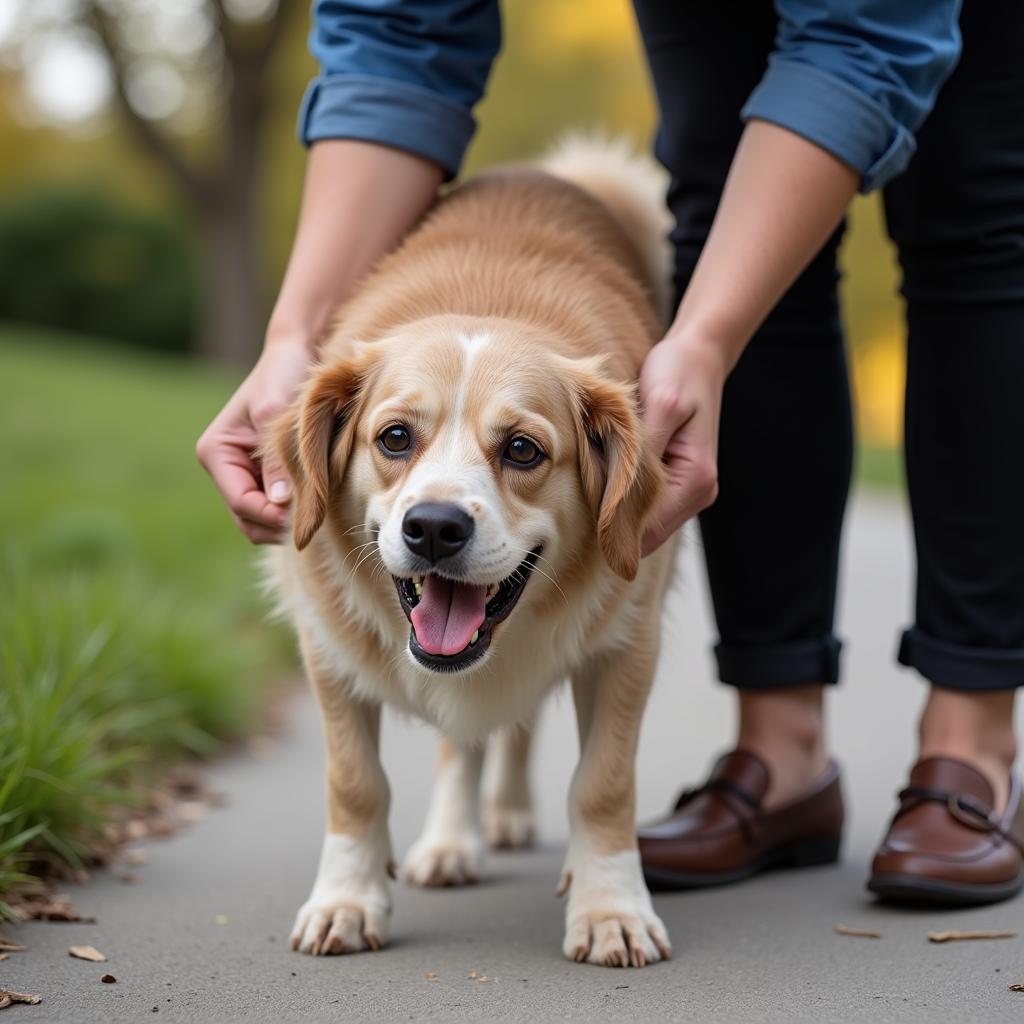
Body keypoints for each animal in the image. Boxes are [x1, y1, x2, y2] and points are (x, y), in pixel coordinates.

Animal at [270, 138, 679, 966]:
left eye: (522, 449)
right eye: (395, 437)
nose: (434, 527)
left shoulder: (628, 646)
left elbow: (603, 785)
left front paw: (610, 907)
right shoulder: (326, 648)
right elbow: (356, 783)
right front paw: (347, 899)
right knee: (463, 744)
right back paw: (453, 841)